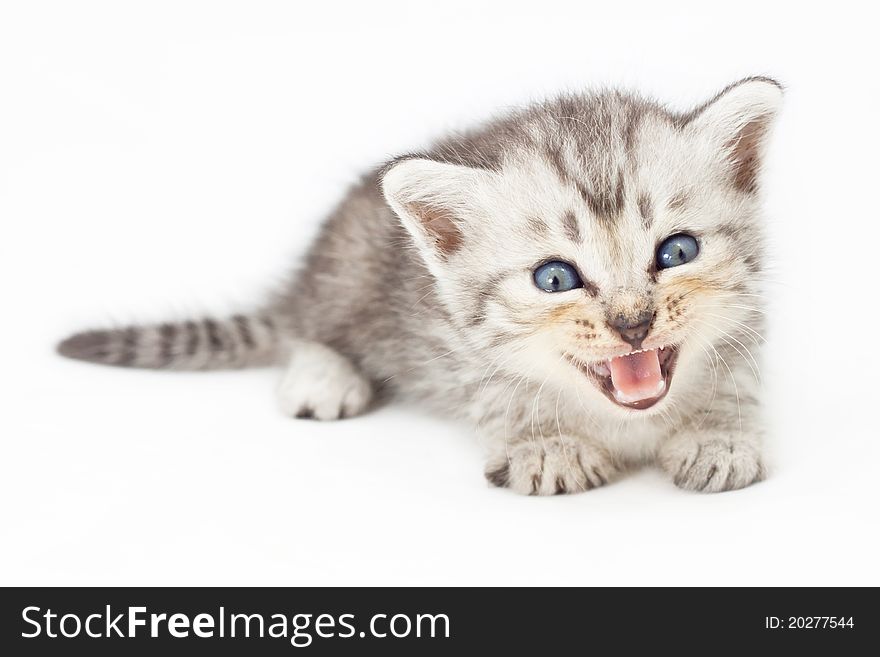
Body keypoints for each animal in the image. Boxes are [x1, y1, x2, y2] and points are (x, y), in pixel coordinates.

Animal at [58, 77, 780, 494]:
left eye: (677, 251)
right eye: (555, 277)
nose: (632, 323)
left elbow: (737, 382)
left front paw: (720, 434)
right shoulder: (461, 347)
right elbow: (500, 397)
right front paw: (545, 446)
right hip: (349, 270)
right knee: (306, 325)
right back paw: (323, 374)